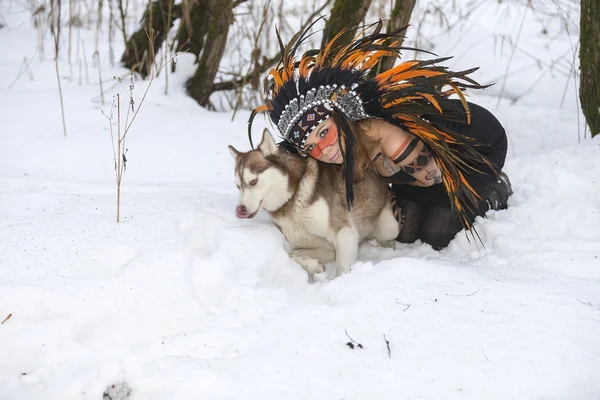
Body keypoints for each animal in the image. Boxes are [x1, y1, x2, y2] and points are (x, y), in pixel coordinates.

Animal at [227, 130, 400, 278]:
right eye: (238, 186)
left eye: (253, 181)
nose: (239, 210)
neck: (293, 196)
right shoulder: (319, 245)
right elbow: (291, 254)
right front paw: (314, 266)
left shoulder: (344, 231)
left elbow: (342, 268)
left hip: (389, 226)